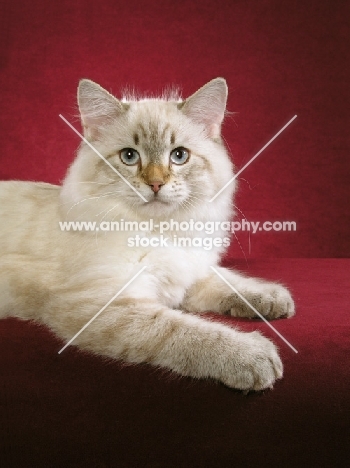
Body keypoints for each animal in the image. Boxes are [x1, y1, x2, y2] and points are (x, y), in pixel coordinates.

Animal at [0, 77, 296, 392]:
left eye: (179, 156)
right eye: (129, 156)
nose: (155, 184)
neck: (161, 231)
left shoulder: (187, 276)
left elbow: (229, 282)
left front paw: (273, 298)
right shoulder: (107, 305)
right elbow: (183, 330)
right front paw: (252, 355)